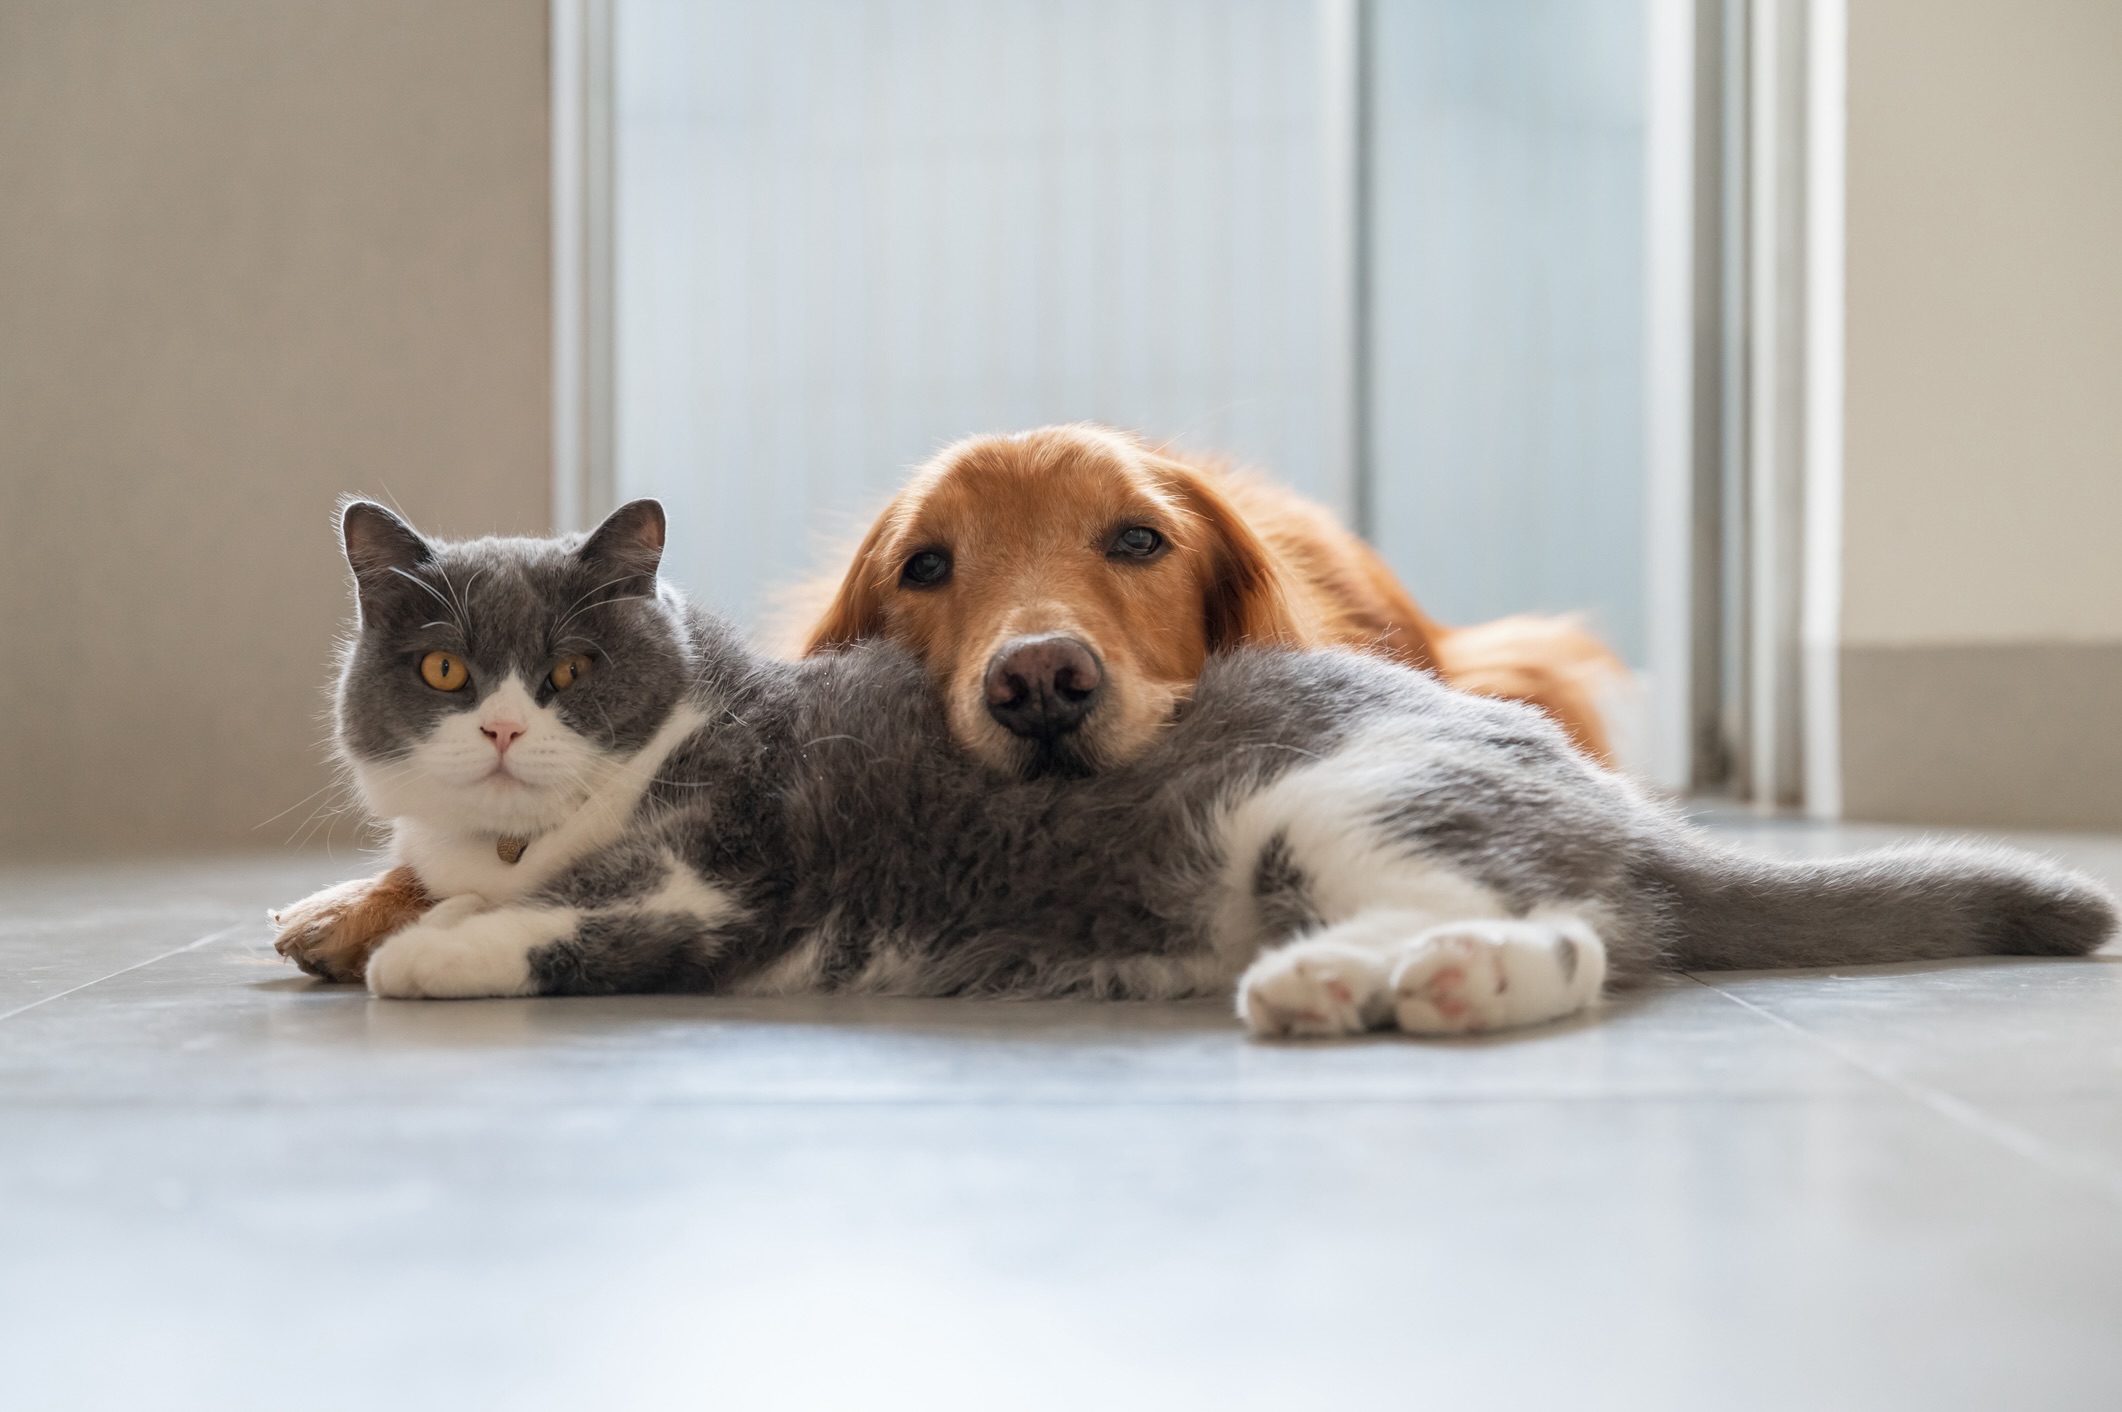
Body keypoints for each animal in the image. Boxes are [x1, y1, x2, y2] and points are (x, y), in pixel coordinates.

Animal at [318, 498, 2122, 1036]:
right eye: (440, 672)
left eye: (568, 674)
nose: (501, 729)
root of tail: (1615, 803)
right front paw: (396, 908)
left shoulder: (725, 871)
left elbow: (587, 914)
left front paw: (431, 948)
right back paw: (1333, 985)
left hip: (1345, 799)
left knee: (1565, 936)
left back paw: (1436, 986)